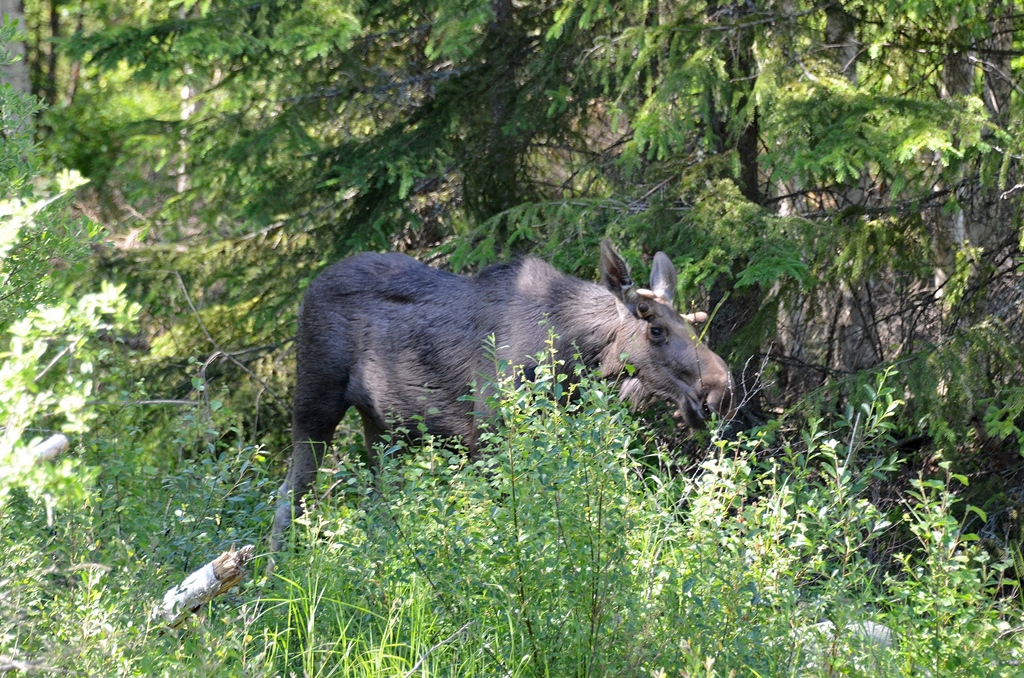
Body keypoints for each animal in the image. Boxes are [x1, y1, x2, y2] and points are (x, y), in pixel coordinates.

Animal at [270, 241, 737, 548]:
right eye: (655, 329)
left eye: (692, 324)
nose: (720, 390)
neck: (574, 355)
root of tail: (308, 288)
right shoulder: (492, 437)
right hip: (314, 401)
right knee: (289, 496)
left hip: (384, 430)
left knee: (378, 507)